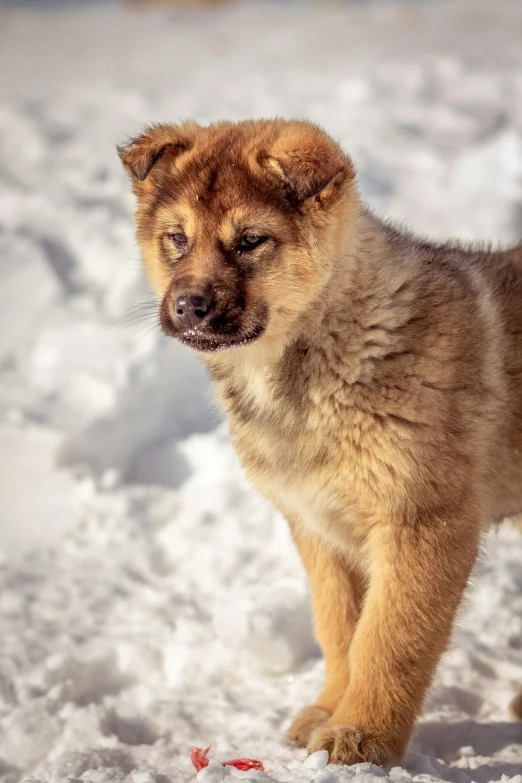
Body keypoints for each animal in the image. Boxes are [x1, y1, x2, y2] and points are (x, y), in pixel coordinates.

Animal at [118, 119, 520, 768]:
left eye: (250, 241)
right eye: (176, 238)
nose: (187, 307)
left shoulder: (422, 519)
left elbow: (389, 638)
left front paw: (361, 736)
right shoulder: (320, 524)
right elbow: (341, 630)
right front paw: (329, 711)